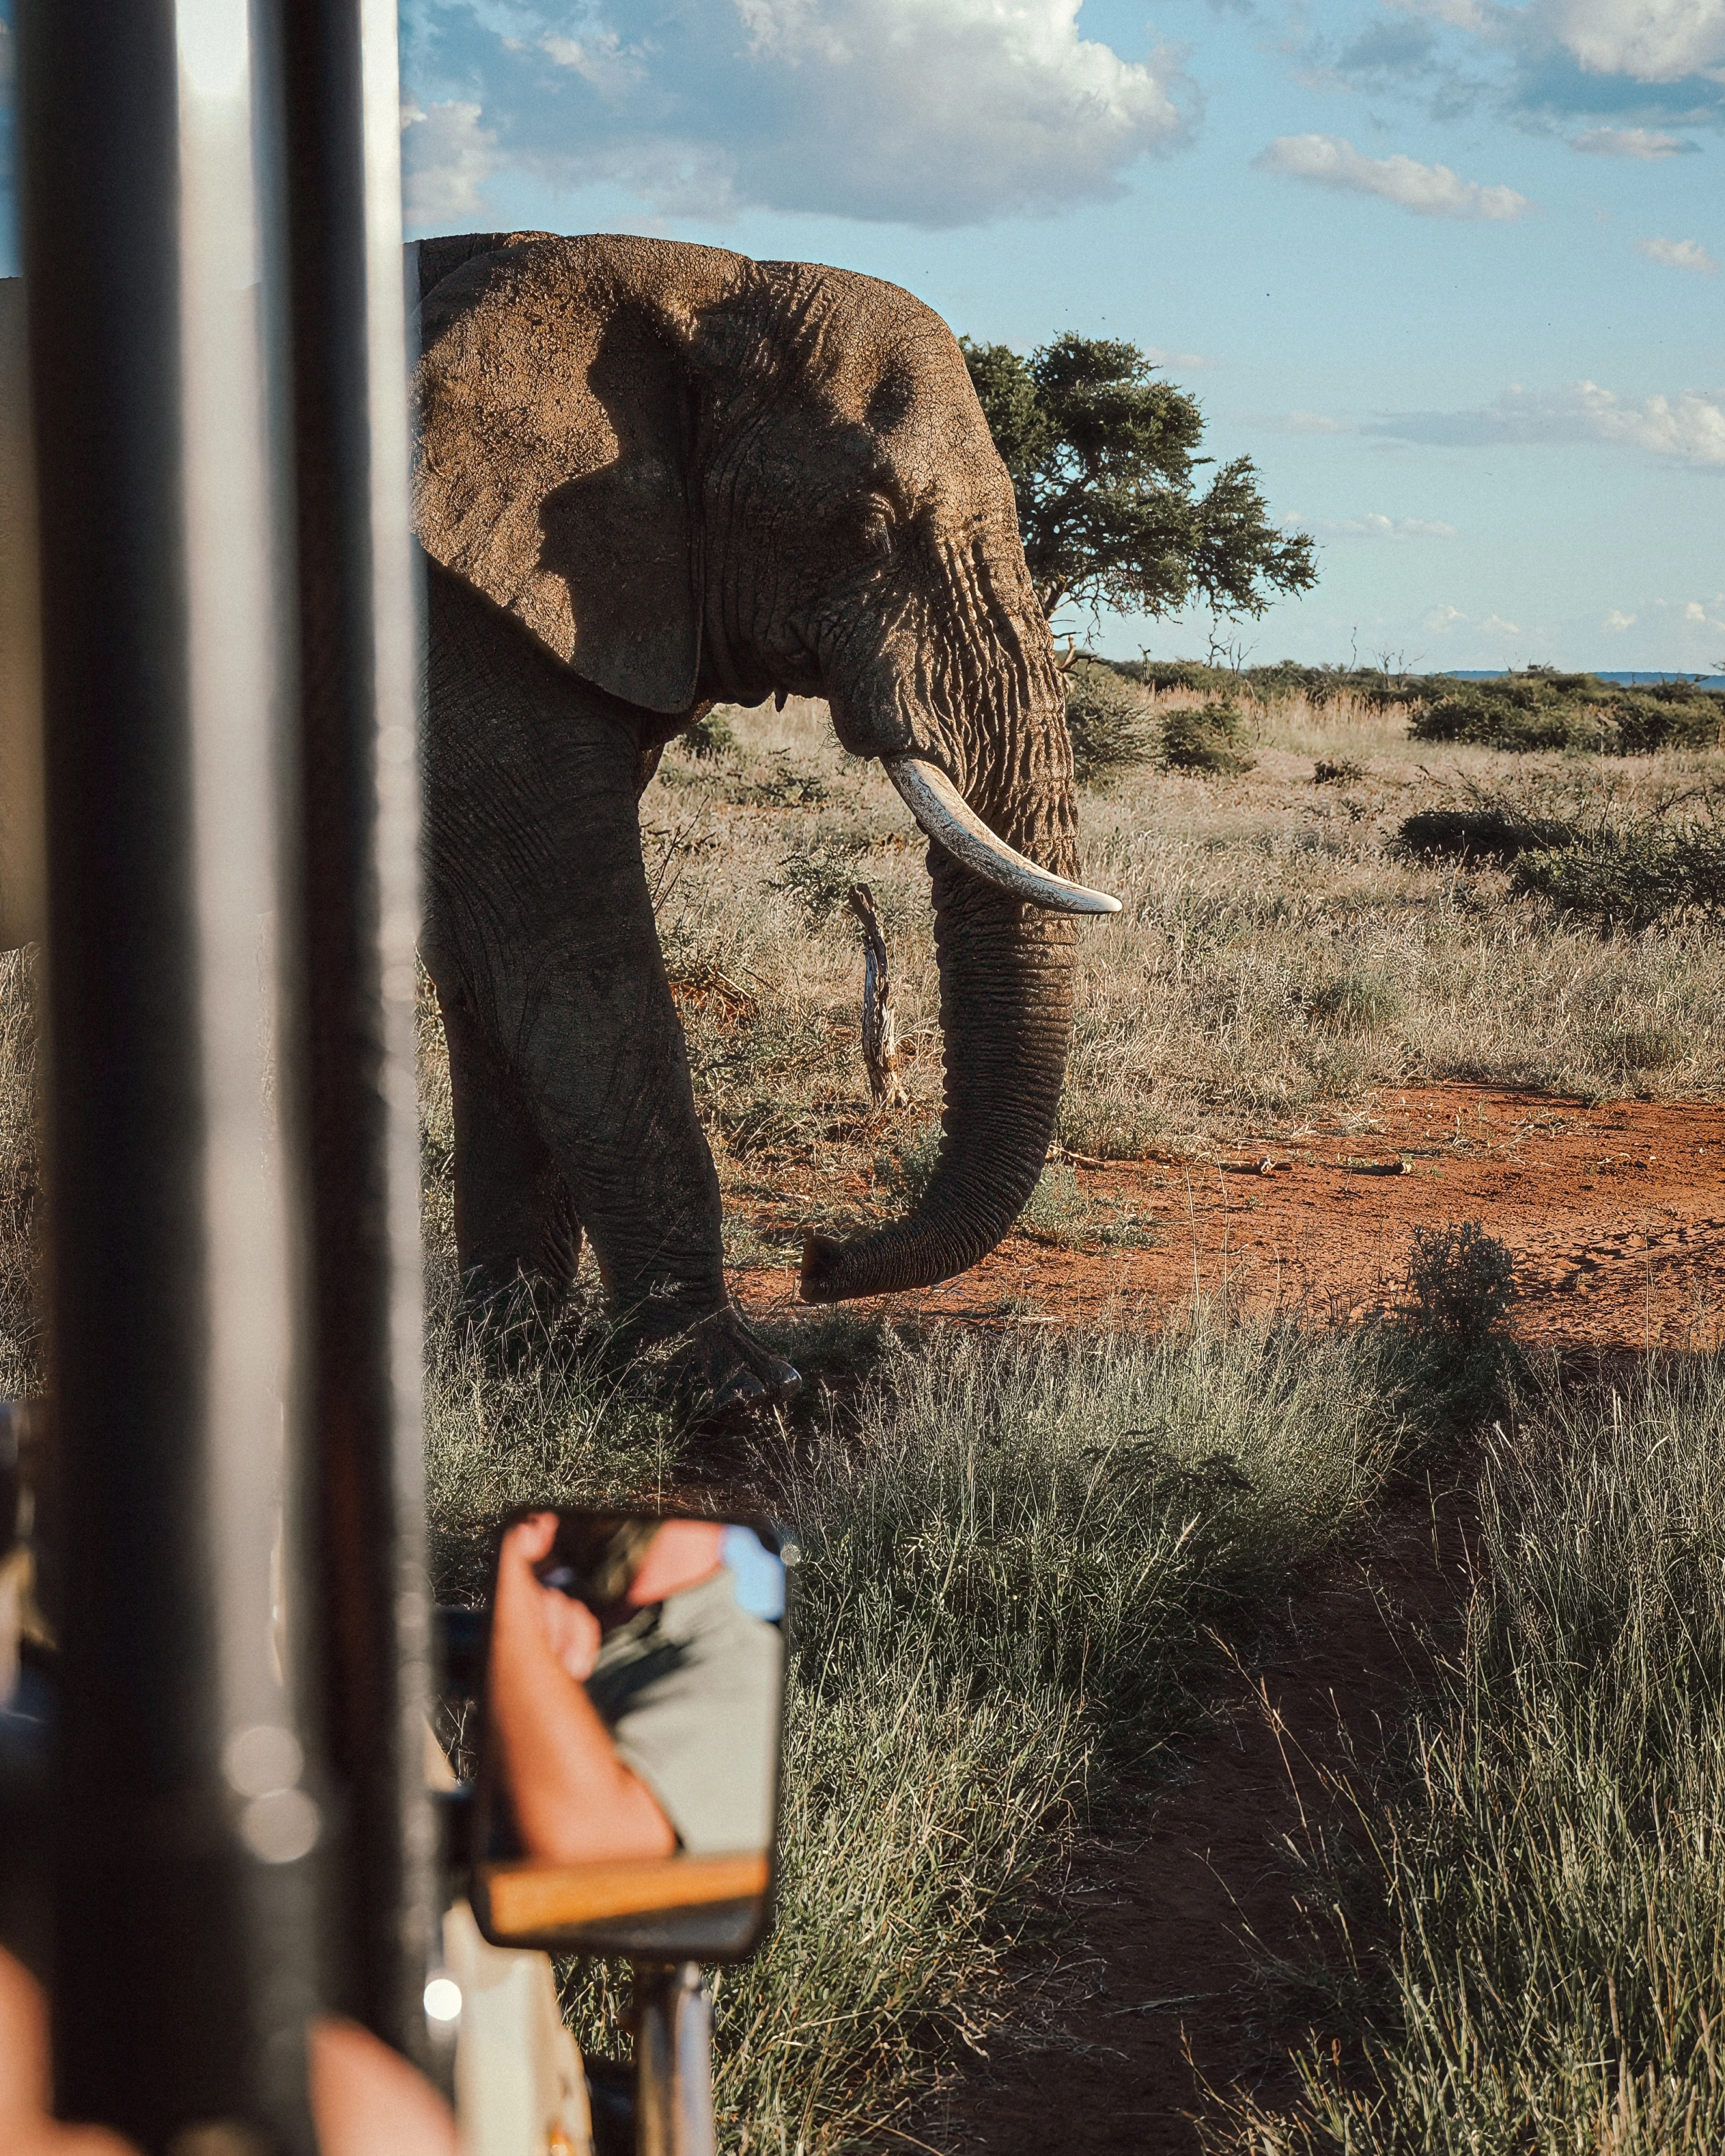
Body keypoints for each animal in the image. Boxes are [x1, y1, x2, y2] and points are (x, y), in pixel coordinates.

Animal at [411, 231, 1118, 1411]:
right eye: (867, 525)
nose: (820, 1259)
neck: (688, 279)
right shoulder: (462, 624)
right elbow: (571, 958)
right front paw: (733, 1387)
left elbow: (485, 975)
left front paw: (512, 1356)